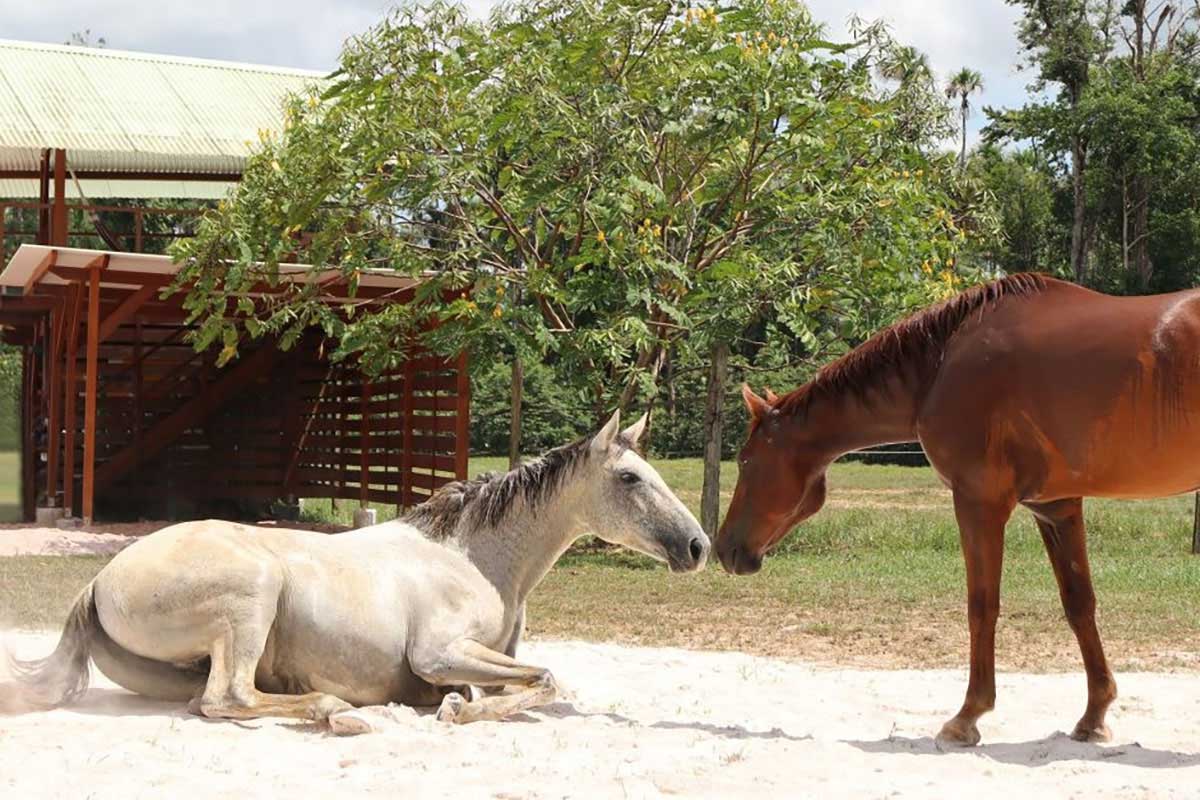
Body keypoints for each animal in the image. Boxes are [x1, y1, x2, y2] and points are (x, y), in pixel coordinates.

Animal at [4, 411, 709, 733]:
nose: (699, 546)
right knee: (228, 699)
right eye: (630, 478)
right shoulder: (438, 653)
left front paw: (457, 704)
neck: (472, 558)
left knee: (216, 698)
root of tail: (98, 582)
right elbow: (545, 678)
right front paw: (455, 710)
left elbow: (528, 682)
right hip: (253, 595)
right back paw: (338, 711)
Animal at [715, 272, 1200, 746]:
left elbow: (982, 606)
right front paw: (1094, 716)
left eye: (746, 461)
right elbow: (1079, 604)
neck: (940, 364)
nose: (724, 549)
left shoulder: (978, 503)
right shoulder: (1055, 507)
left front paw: (968, 717)